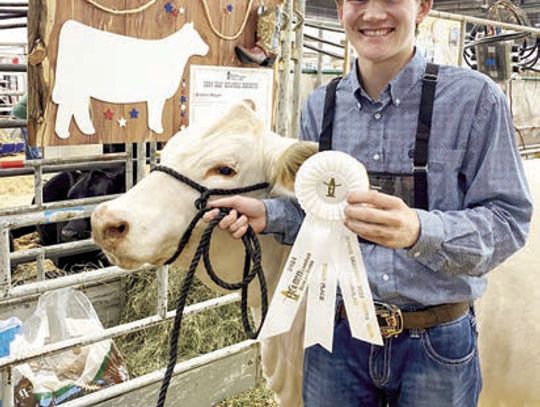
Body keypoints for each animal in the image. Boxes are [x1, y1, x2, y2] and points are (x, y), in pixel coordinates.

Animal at [52, 21, 209, 140]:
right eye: (195, 36)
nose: (207, 48)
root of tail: (71, 24)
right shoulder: (157, 95)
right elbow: (156, 112)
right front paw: (158, 129)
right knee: (69, 107)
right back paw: (68, 133)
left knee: (74, 108)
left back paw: (81, 131)